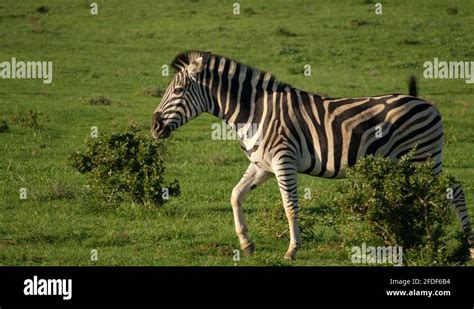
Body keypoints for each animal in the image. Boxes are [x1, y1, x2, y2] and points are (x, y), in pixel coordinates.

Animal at [150, 51, 472, 260]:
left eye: (177, 90)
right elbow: (235, 195)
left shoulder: (283, 160)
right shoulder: (261, 165)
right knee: (434, 195)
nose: (153, 126)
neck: (253, 112)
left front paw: (292, 250)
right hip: (414, 163)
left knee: (454, 192)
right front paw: (247, 244)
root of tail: (424, 102)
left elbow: (290, 206)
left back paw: (466, 245)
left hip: (422, 159)